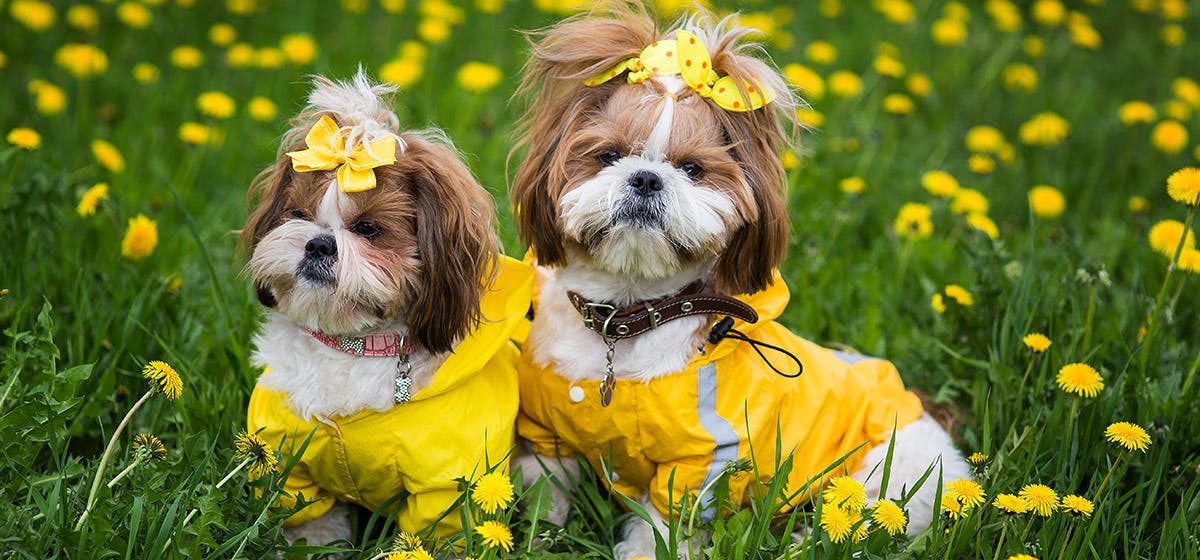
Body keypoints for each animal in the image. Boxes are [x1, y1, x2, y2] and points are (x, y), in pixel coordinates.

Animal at [241, 68, 532, 549]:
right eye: (297, 214)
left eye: (369, 229)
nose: (318, 243)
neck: (353, 344)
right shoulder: (290, 462)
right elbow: (312, 522)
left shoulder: (446, 487)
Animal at [511, 6, 969, 558]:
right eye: (608, 155)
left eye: (693, 168)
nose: (646, 177)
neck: (625, 320)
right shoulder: (546, 429)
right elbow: (547, 484)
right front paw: (538, 533)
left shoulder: (702, 460)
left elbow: (663, 522)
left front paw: (642, 550)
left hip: (884, 473)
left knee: (859, 522)